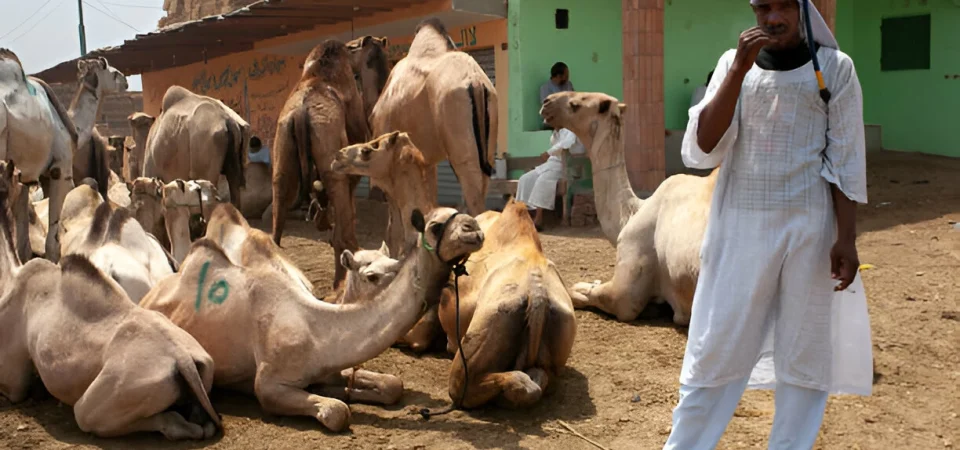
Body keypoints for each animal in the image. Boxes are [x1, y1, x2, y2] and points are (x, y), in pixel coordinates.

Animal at [140, 206, 484, 432]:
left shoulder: (330, 362)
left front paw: (350, 390)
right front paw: (338, 399)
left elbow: (392, 384)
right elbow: (337, 412)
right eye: (436, 225)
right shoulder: (270, 384)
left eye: (396, 265)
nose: (474, 228)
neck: (315, 325)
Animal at [369, 18, 498, 257]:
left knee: (473, 196)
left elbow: (396, 221)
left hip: (460, 144)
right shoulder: (426, 161)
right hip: (487, 144)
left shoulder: (391, 165)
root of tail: (476, 82)